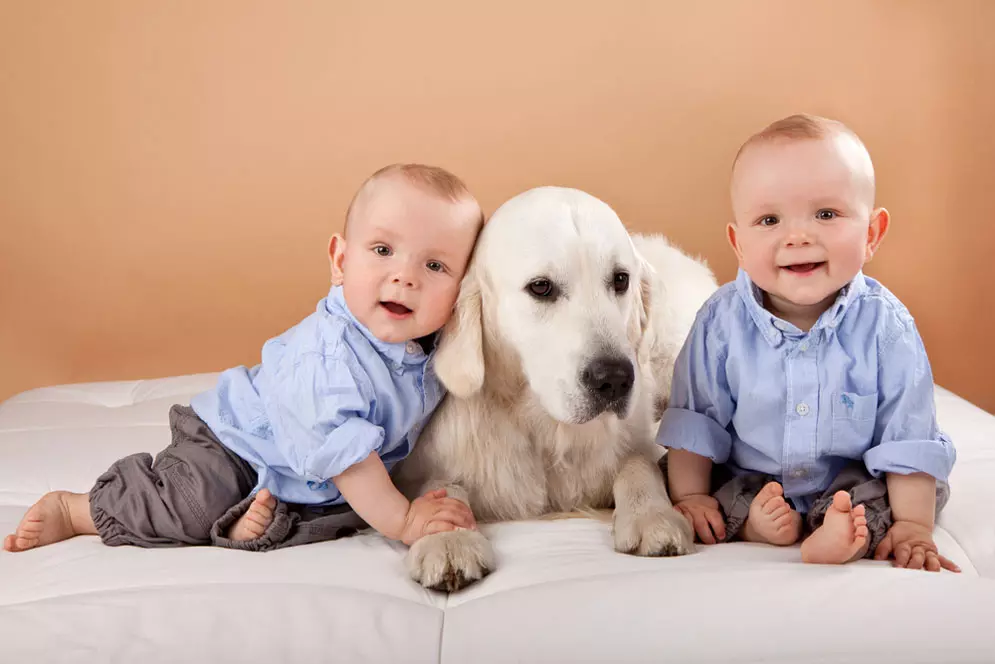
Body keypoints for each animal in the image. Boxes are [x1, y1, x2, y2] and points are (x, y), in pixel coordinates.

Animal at [392, 185, 720, 592]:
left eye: (620, 280)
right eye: (541, 287)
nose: (615, 378)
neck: (547, 429)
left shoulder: (640, 441)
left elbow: (639, 463)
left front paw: (652, 516)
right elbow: (439, 488)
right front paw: (449, 538)